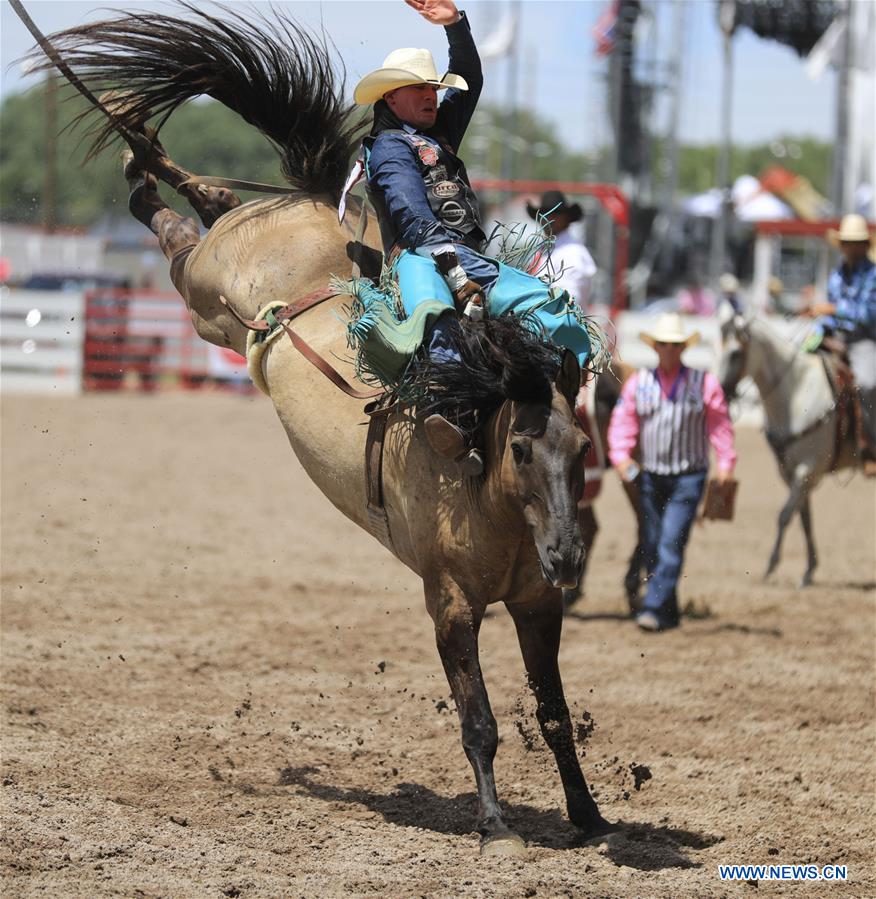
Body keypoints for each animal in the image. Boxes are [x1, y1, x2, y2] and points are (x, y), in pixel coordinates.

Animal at [27, 5, 612, 852]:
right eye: (523, 447)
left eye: (582, 448)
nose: (567, 554)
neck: (481, 474)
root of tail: (302, 212)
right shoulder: (450, 605)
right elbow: (480, 721)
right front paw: (497, 823)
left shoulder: (538, 603)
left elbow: (555, 714)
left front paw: (589, 814)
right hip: (206, 293)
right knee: (177, 230)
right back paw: (139, 165)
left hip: (218, 288)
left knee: (204, 195)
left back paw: (147, 155)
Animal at [716, 306, 860, 588]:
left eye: (736, 352)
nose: (722, 392)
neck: (795, 394)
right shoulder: (790, 472)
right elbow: (804, 519)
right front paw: (809, 570)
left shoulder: (807, 468)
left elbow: (784, 515)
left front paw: (771, 566)